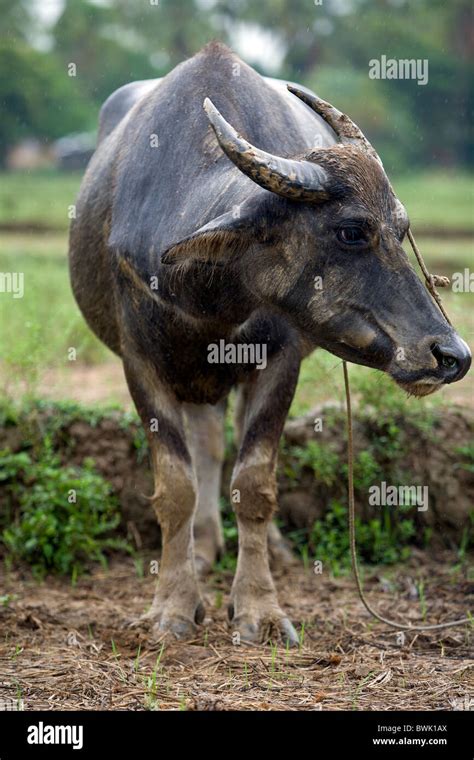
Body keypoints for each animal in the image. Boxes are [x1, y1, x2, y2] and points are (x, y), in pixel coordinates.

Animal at [69, 41, 470, 644]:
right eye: (352, 230)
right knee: (208, 445)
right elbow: (175, 487)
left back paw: (265, 549)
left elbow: (255, 482)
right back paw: (204, 547)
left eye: (402, 230)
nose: (452, 356)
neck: (205, 289)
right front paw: (172, 608)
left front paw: (257, 608)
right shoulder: (140, 364)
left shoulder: (278, 361)